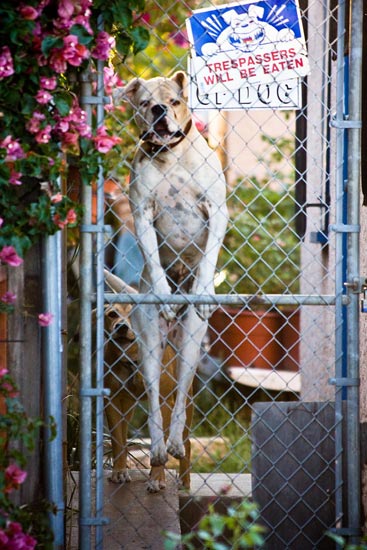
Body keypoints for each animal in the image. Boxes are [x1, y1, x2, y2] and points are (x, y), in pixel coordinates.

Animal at [103, 270, 194, 494]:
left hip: (185, 403)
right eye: (112, 314)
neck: (133, 360)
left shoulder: (164, 402)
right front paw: (119, 472)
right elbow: (118, 440)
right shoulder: (113, 402)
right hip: (128, 407)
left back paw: (185, 482)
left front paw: (157, 479)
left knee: (186, 443)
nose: (121, 327)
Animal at [113, 71, 229, 470]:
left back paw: (178, 441)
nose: (161, 111)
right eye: (146, 103)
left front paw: (206, 289)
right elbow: (151, 254)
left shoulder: (216, 209)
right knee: (152, 401)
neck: (171, 157)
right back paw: (160, 449)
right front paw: (164, 292)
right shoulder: (141, 213)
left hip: (192, 343)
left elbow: (208, 259)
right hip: (149, 346)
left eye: (175, 101)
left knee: (180, 395)